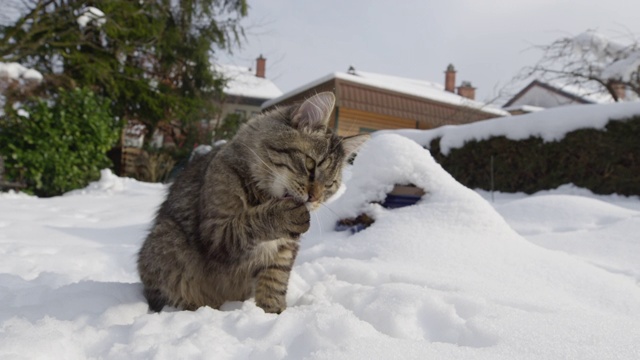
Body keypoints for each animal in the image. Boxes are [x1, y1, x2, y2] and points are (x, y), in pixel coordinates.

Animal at [139, 92, 370, 312]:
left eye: (330, 184)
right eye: (310, 164)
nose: (313, 198)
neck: (266, 197)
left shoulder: (283, 251)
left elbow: (274, 283)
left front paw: (274, 313)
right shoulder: (215, 232)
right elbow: (249, 223)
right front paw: (282, 215)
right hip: (167, 240)